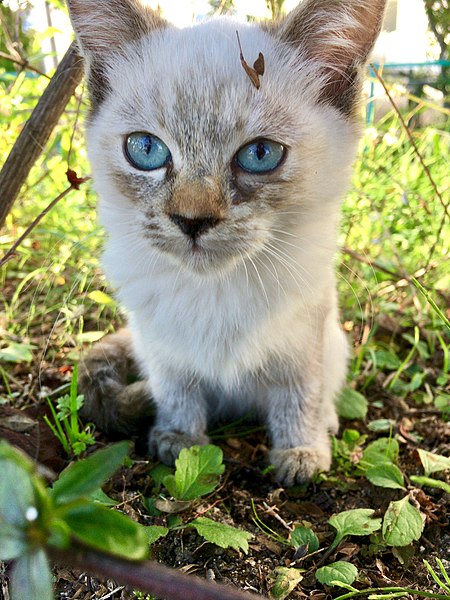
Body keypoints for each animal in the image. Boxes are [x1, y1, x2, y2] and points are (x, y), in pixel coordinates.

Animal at [68, 0, 384, 488]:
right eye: (145, 150)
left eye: (260, 155)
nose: (192, 221)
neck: (215, 289)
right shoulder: (161, 345)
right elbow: (176, 391)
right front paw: (181, 442)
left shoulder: (303, 338)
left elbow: (300, 397)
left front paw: (301, 454)